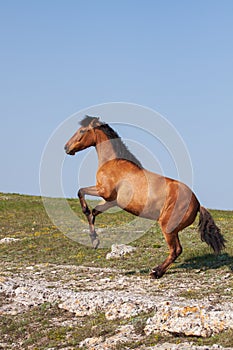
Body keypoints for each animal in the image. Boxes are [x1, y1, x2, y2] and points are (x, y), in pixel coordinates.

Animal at [64, 115, 226, 278]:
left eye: (82, 131)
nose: (66, 147)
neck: (113, 163)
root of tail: (198, 204)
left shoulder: (104, 191)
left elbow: (81, 192)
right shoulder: (112, 201)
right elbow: (94, 212)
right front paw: (94, 241)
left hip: (167, 227)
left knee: (176, 250)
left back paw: (156, 272)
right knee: (176, 250)